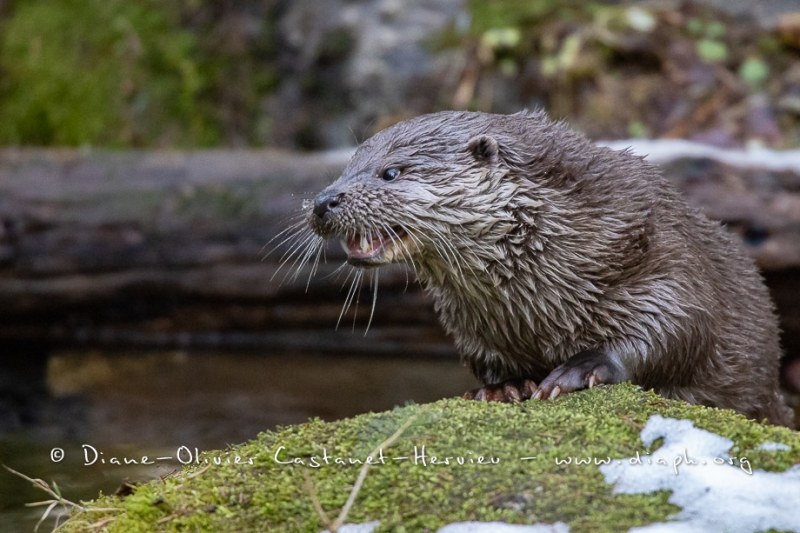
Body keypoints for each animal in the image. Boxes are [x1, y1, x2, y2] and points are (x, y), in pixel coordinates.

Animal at [302, 110, 792, 426]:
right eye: (345, 168)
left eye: (391, 173)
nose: (324, 201)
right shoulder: (474, 325)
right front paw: (504, 386)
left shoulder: (665, 261)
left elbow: (680, 328)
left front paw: (579, 369)